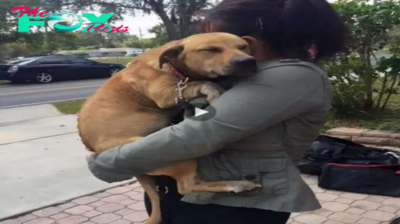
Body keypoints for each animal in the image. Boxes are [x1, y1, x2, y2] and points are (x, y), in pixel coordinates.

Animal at [77, 32, 260, 223]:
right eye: (210, 49)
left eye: (243, 46)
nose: (247, 61)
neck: (172, 68)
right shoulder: (164, 93)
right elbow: (202, 83)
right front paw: (213, 90)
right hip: (173, 151)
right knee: (187, 186)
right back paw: (236, 184)